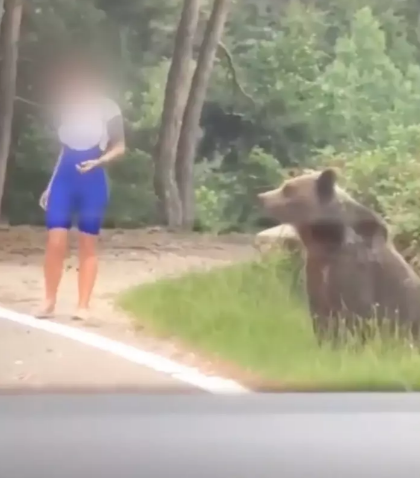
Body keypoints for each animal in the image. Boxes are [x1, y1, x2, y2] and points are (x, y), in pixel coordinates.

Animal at [258, 170, 420, 346]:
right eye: (285, 185)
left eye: (288, 188)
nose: (261, 197)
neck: (326, 242)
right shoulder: (316, 268)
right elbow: (321, 314)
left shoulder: (353, 269)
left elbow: (355, 315)